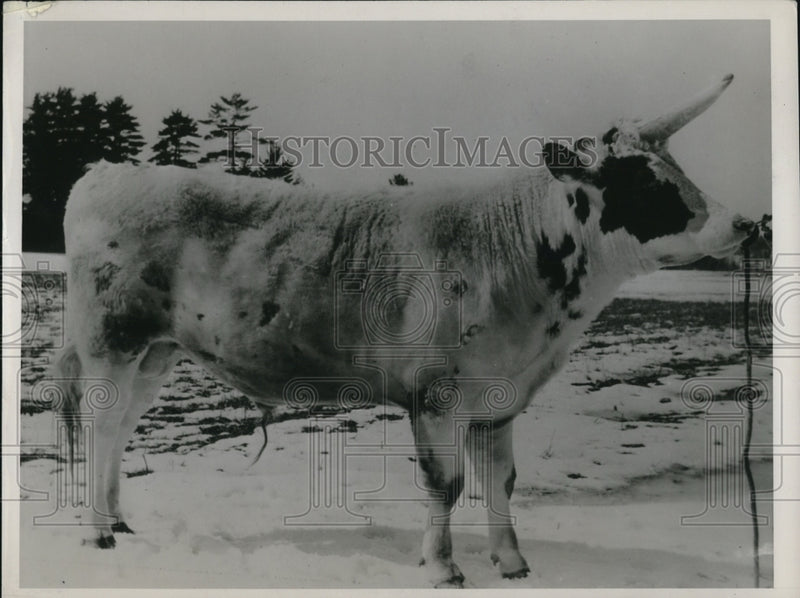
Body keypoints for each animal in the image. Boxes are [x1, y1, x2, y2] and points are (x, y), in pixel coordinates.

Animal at [54, 74, 753, 587]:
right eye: (644, 180)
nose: (746, 223)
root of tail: (107, 171)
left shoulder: (501, 397)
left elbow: (501, 480)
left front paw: (512, 562)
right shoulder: (434, 392)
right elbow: (447, 482)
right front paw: (443, 567)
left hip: (155, 351)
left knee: (120, 428)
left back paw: (119, 520)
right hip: (111, 339)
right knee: (99, 426)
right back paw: (96, 532)